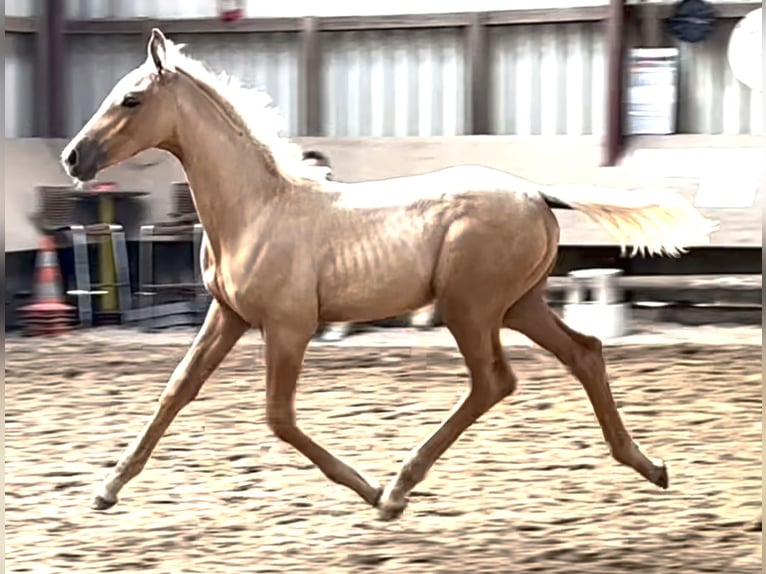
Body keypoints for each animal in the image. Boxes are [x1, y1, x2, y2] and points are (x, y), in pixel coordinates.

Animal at [61, 29, 720, 520]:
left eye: (131, 100)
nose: (72, 157)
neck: (258, 208)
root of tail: (537, 193)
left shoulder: (288, 326)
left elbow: (279, 417)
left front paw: (368, 489)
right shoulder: (229, 315)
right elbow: (176, 390)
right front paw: (106, 488)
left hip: (471, 308)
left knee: (494, 381)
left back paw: (398, 489)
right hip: (519, 304)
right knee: (583, 352)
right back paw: (649, 466)